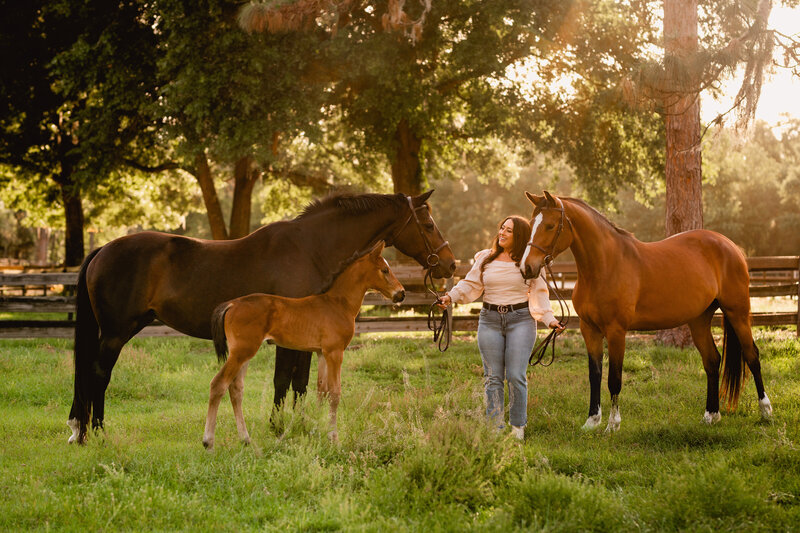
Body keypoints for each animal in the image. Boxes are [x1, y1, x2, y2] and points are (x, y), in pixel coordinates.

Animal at [203, 242, 404, 448]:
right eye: (385, 270)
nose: (401, 293)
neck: (338, 304)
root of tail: (232, 304)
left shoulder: (322, 353)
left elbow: (322, 390)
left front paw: (318, 430)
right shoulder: (335, 352)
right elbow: (335, 393)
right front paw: (334, 438)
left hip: (244, 353)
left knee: (236, 388)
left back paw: (245, 439)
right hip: (241, 352)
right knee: (218, 384)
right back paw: (208, 441)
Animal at [520, 191, 772, 432]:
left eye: (550, 225)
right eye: (531, 224)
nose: (526, 267)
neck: (605, 266)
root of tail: (729, 245)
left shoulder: (616, 331)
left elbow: (614, 379)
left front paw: (613, 424)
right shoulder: (589, 330)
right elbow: (595, 375)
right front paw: (592, 421)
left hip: (737, 312)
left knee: (752, 356)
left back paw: (766, 411)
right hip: (699, 320)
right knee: (712, 360)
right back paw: (711, 415)